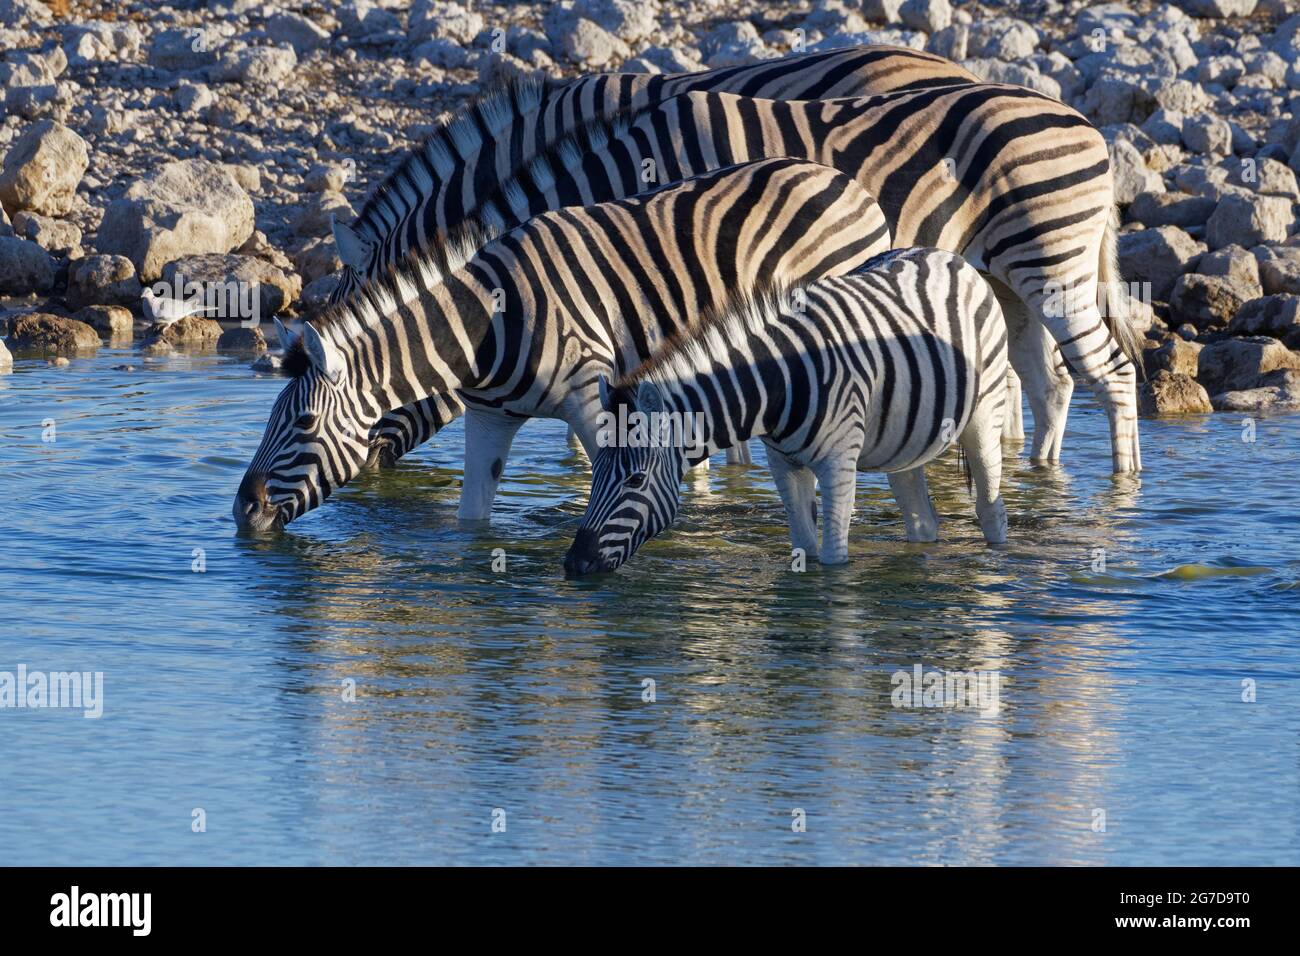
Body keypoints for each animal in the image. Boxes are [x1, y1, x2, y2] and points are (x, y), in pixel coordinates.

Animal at [233, 157, 894, 530]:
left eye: (303, 426)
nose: (242, 512)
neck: (486, 329)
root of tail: (845, 180)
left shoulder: (595, 405)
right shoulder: (489, 418)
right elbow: (472, 522)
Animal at [356, 85, 1138, 478]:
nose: (371, 470)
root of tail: (1086, 124)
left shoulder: (684, 272)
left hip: (1053, 262)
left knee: (1112, 373)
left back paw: (1122, 487)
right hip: (1010, 277)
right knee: (1048, 380)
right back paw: (1042, 474)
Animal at [564, 248, 1008, 574]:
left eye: (636, 480)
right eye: (596, 473)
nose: (574, 564)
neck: (778, 382)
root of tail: (943, 254)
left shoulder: (838, 465)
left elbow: (832, 559)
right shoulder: (783, 465)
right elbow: (805, 549)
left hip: (985, 413)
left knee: (991, 509)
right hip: (904, 442)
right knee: (921, 520)